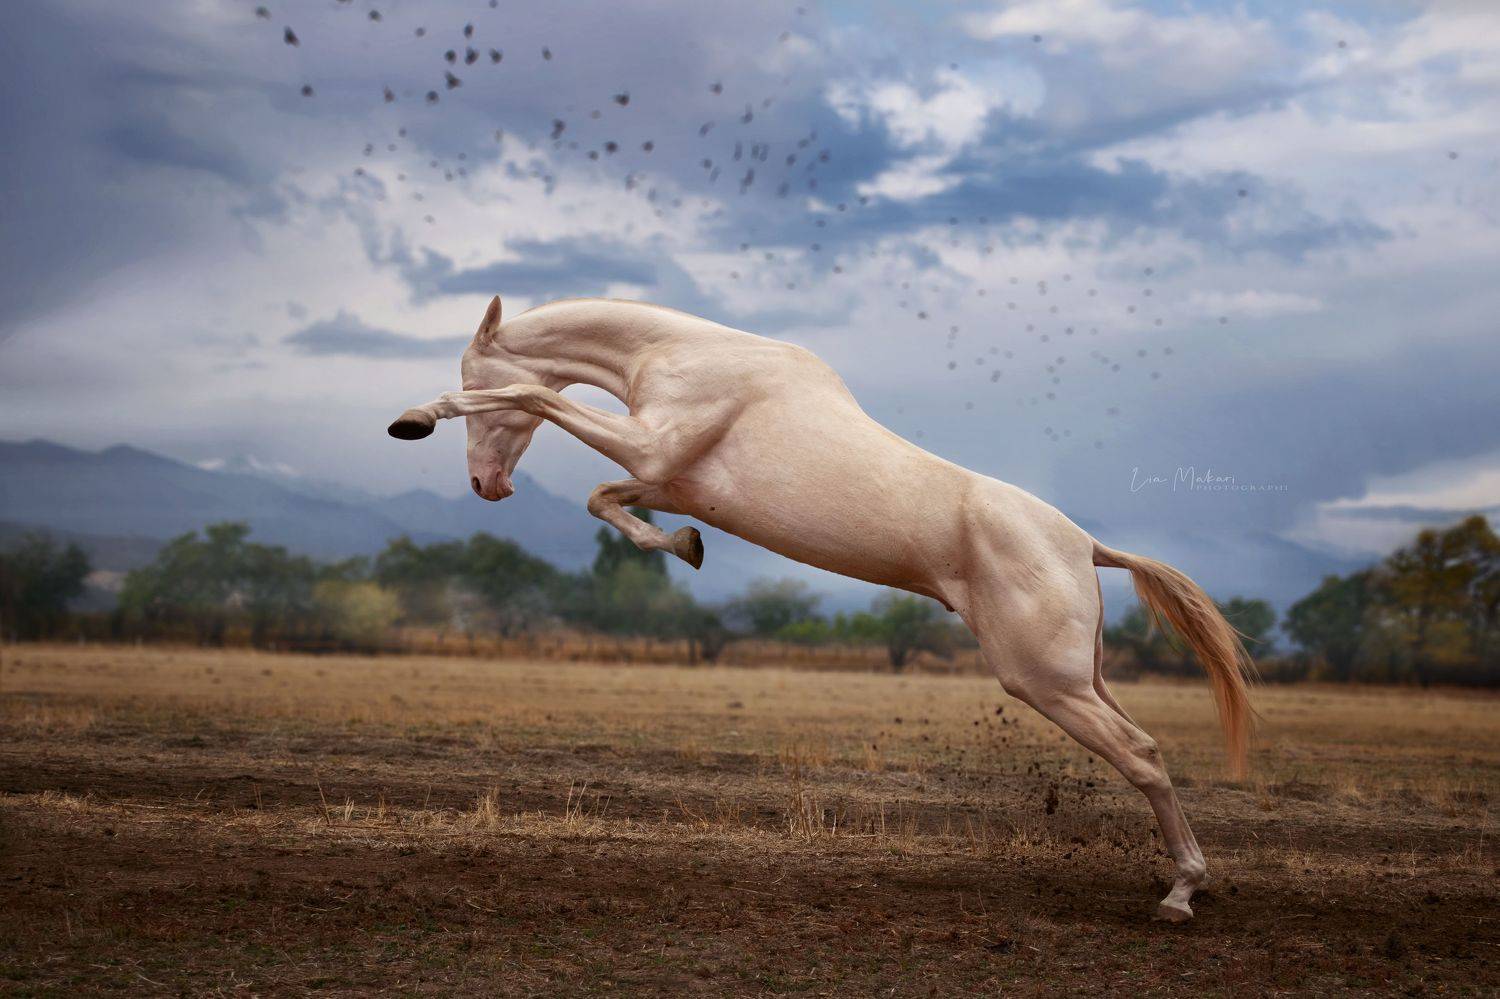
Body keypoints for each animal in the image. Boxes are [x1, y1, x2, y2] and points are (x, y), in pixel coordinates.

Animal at [388, 294, 1254, 922]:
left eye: (468, 366)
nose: (487, 486)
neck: (681, 357)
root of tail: (1087, 544)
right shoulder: (664, 475)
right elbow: (608, 502)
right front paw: (687, 547)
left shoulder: (651, 446)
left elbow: (533, 391)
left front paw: (418, 414)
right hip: (1083, 677)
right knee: (1142, 750)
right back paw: (1184, 881)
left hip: (1048, 682)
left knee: (1142, 754)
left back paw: (1182, 892)